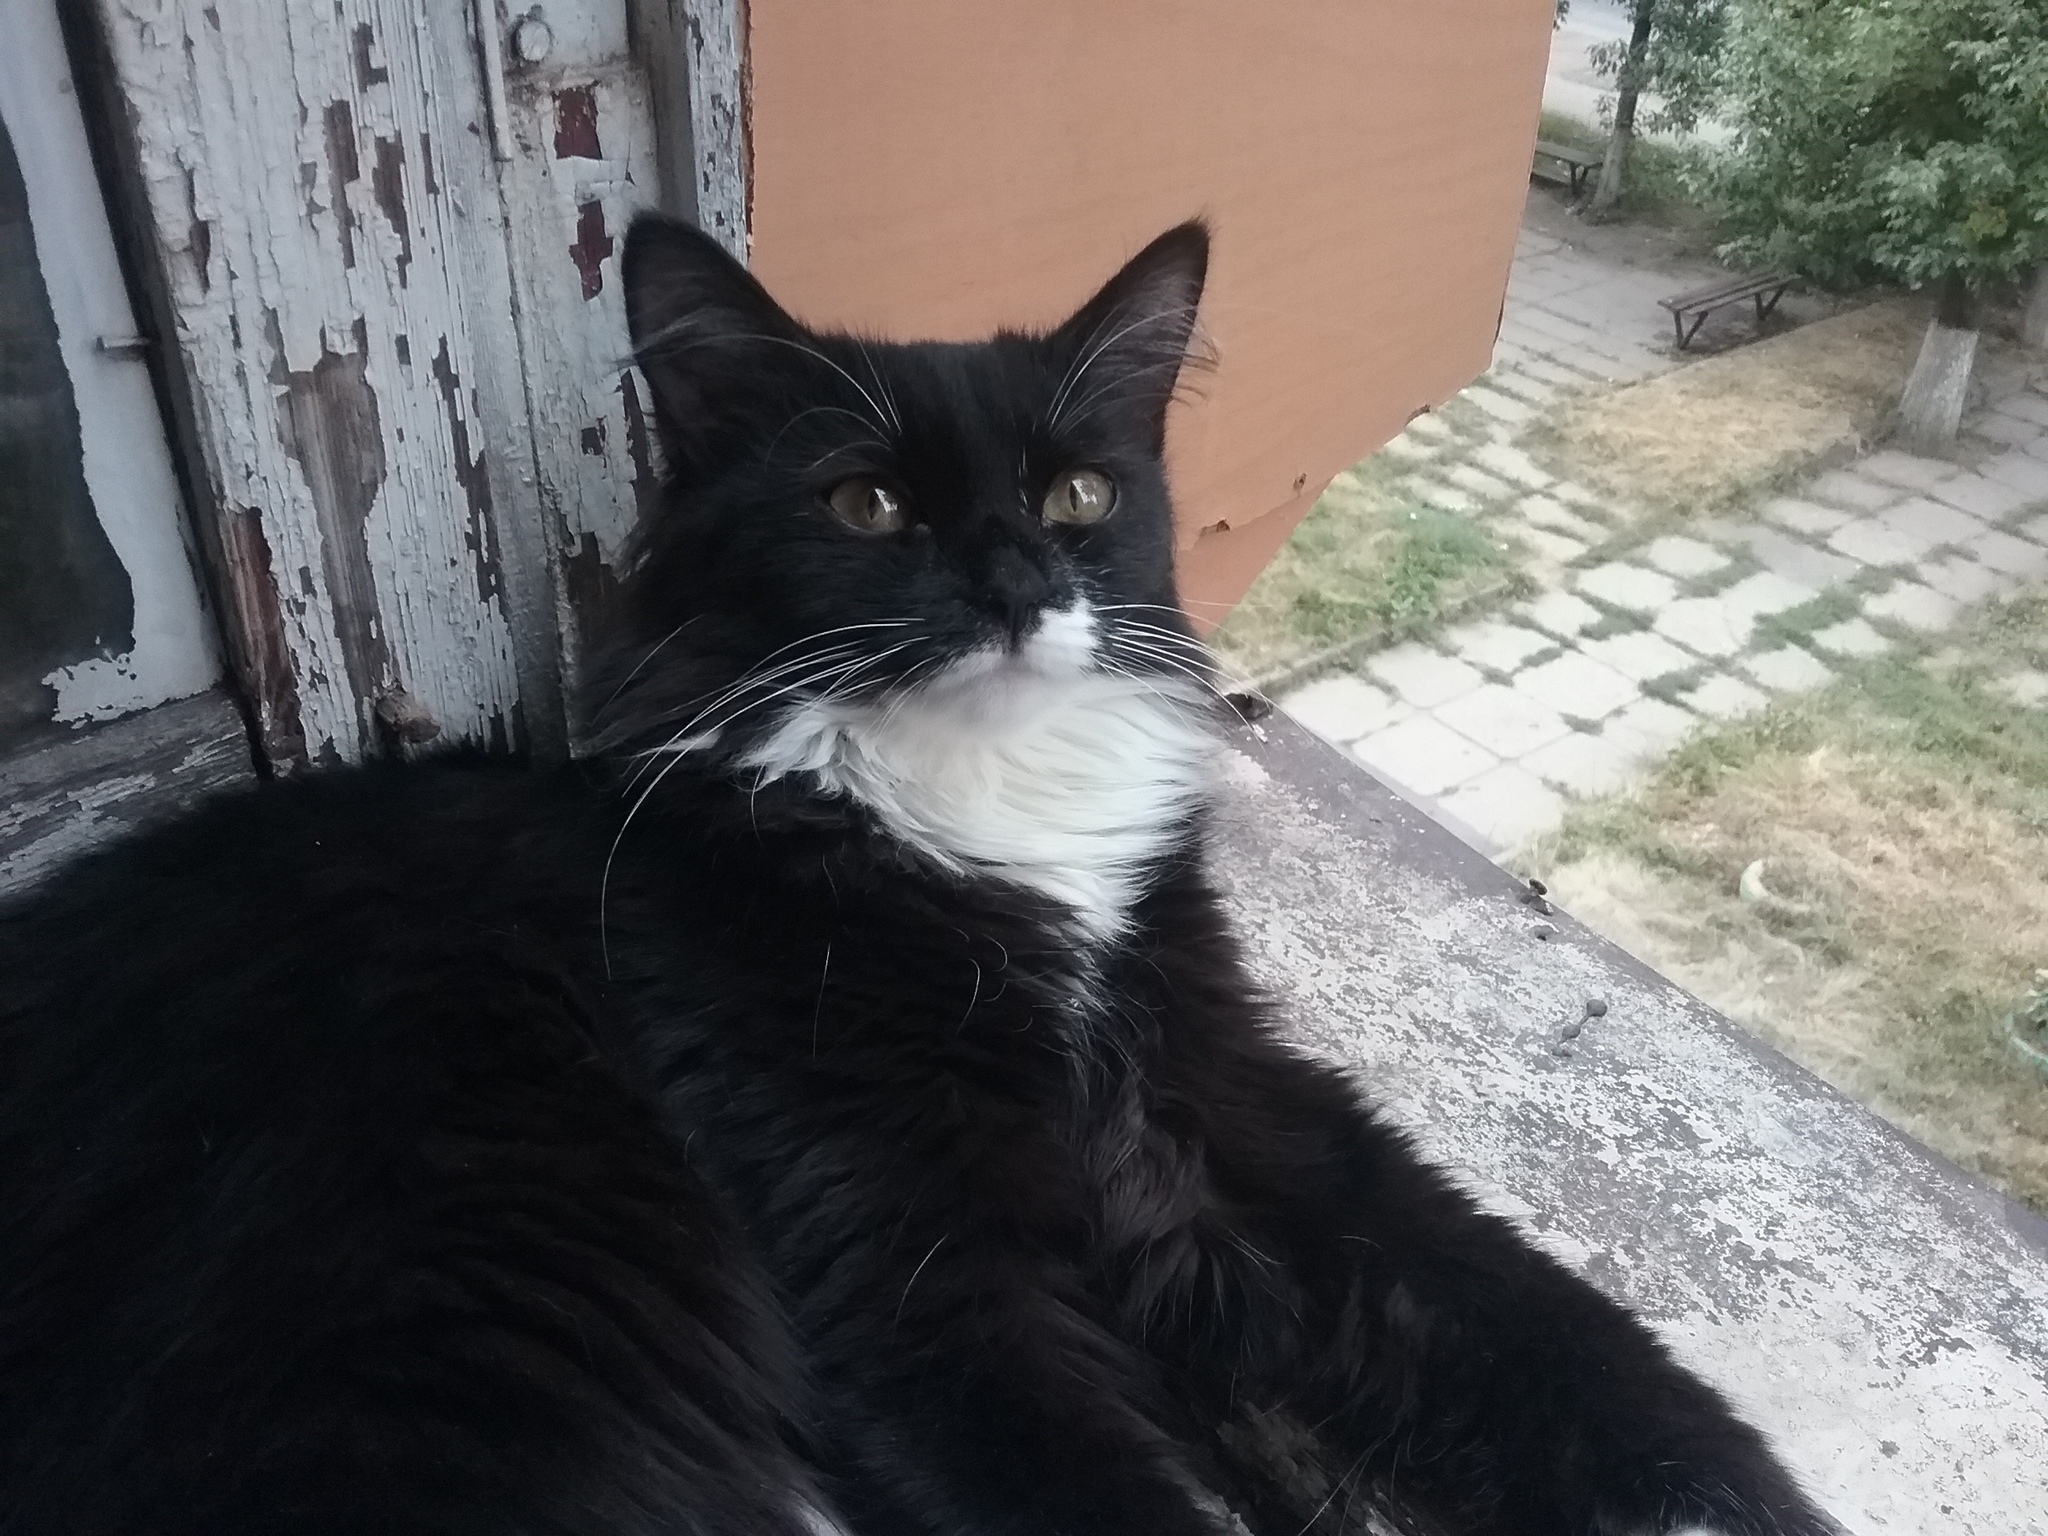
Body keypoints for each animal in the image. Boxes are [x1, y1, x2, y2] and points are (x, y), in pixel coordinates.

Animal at [0, 213, 1842, 1536]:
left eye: (1080, 491)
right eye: (870, 504)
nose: (1018, 579)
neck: (982, 814)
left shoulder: (1214, 1102)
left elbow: (1514, 1312)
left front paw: (1732, 1502)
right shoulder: (906, 1260)